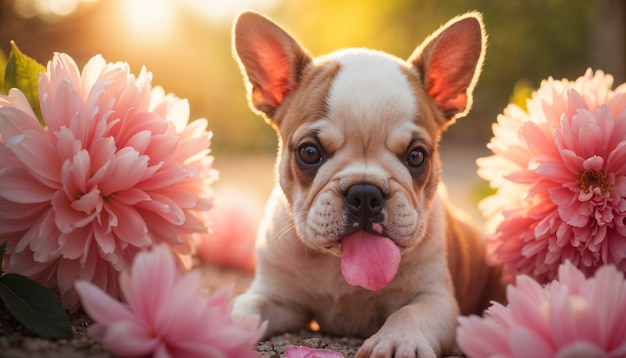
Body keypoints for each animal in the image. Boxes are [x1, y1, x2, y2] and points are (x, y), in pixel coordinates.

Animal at [232, 11, 504, 358]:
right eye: (309, 152)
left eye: (417, 155)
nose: (364, 192)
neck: (339, 268)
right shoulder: (275, 296)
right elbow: (245, 308)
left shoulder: (435, 299)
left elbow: (411, 312)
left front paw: (398, 340)